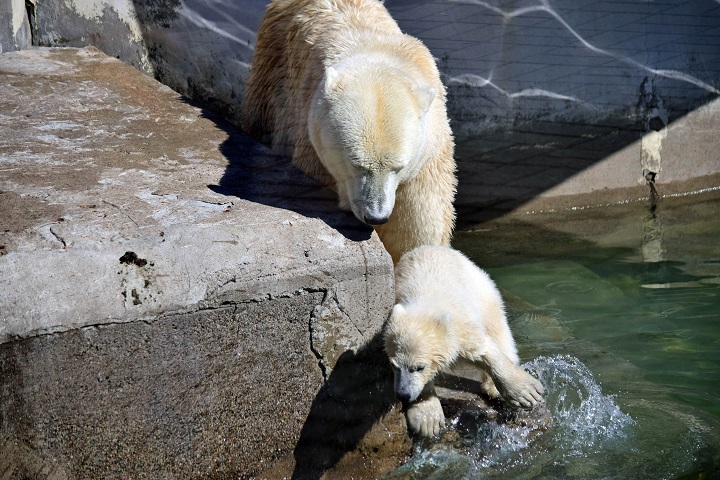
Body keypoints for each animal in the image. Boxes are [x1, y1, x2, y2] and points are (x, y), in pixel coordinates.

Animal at [242, 0, 456, 262]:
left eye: (399, 167)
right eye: (356, 164)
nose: (376, 216)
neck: (377, 58)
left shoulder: (425, 165)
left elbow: (415, 232)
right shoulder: (314, 146)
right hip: (274, 65)